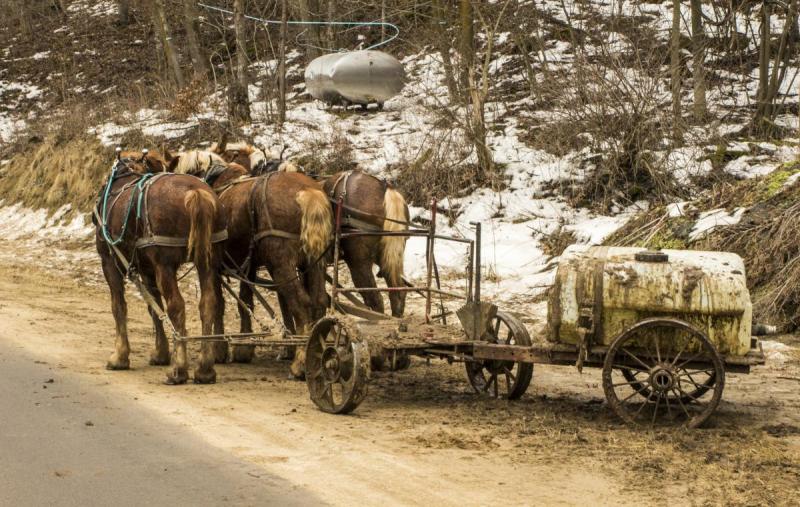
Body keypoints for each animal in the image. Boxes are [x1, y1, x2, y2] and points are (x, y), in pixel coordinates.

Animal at [96, 151, 231, 384]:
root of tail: (196, 192)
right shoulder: (147, 270)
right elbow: (154, 307)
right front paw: (161, 353)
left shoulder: (110, 263)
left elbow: (119, 307)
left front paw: (120, 356)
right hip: (208, 262)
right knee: (208, 304)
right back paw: (205, 369)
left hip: (165, 266)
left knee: (177, 307)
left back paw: (179, 369)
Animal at [169, 151, 332, 378]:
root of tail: (307, 191)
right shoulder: (248, 266)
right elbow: (245, 300)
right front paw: (244, 348)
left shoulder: (218, 266)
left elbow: (219, 303)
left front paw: (219, 349)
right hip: (315, 261)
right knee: (319, 300)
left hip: (281, 264)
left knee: (301, 303)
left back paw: (299, 364)